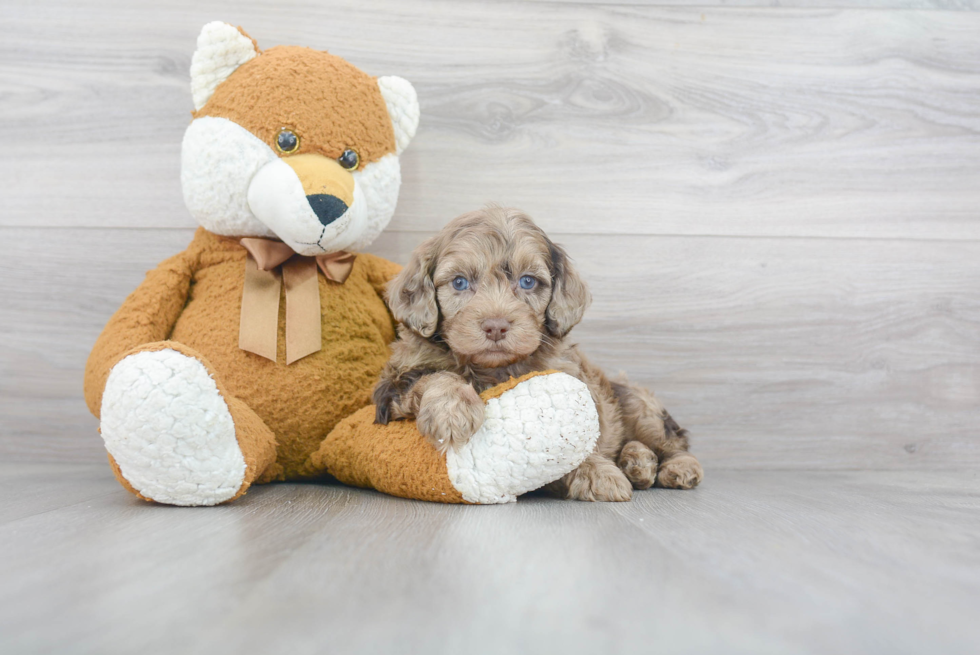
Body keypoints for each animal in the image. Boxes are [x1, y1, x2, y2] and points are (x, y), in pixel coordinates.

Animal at [372, 206, 700, 502]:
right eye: (460, 282)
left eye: (528, 281)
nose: (496, 326)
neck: (492, 368)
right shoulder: (394, 385)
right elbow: (434, 376)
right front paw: (452, 411)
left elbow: (577, 439)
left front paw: (595, 471)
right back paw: (638, 463)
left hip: (637, 405)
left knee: (673, 440)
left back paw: (673, 467)